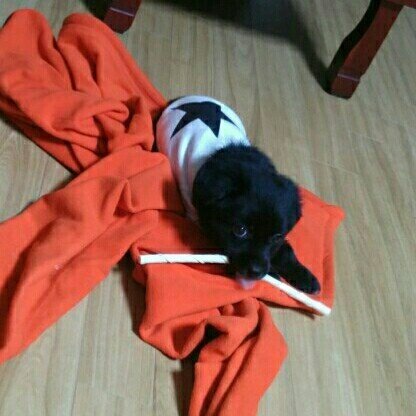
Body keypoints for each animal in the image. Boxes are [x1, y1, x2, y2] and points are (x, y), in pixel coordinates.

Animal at [156, 96, 320, 294]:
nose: (257, 272)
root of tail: (184, 98)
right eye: (240, 230)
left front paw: (303, 275)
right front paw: (274, 275)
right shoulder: (201, 223)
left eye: (277, 237)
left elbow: (285, 250)